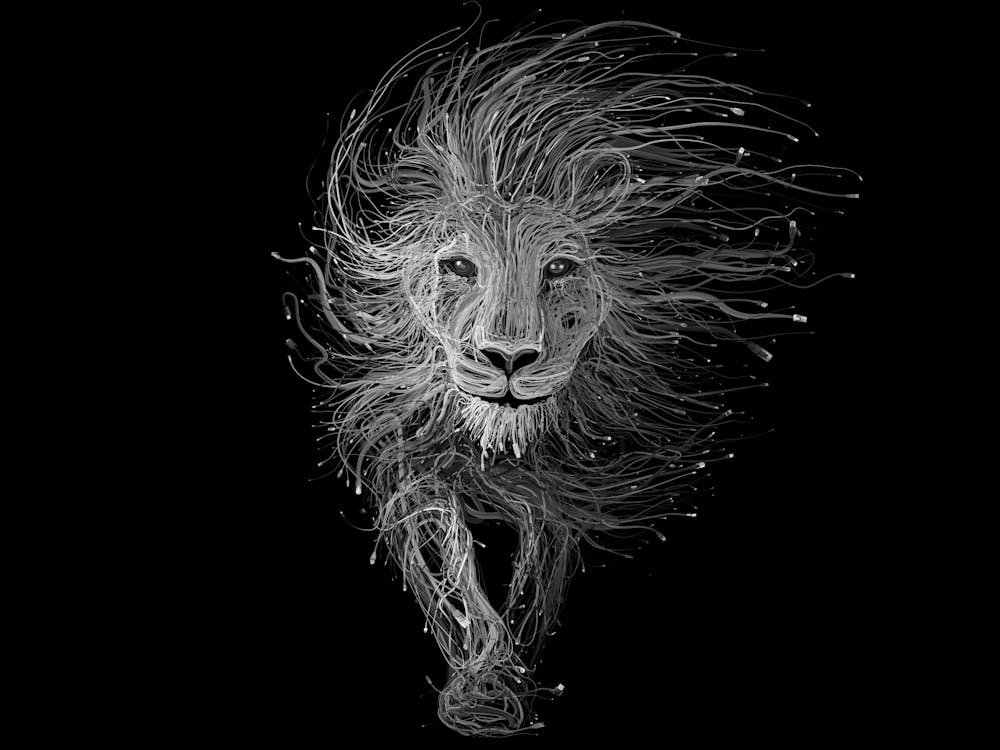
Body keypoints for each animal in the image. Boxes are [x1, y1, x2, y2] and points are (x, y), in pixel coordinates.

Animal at [278, 19, 856, 736]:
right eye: (459, 266)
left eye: (557, 268)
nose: (507, 357)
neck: (499, 443)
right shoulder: (411, 461)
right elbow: (451, 572)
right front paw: (485, 688)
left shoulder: (564, 484)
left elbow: (535, 576)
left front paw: (507, 680)